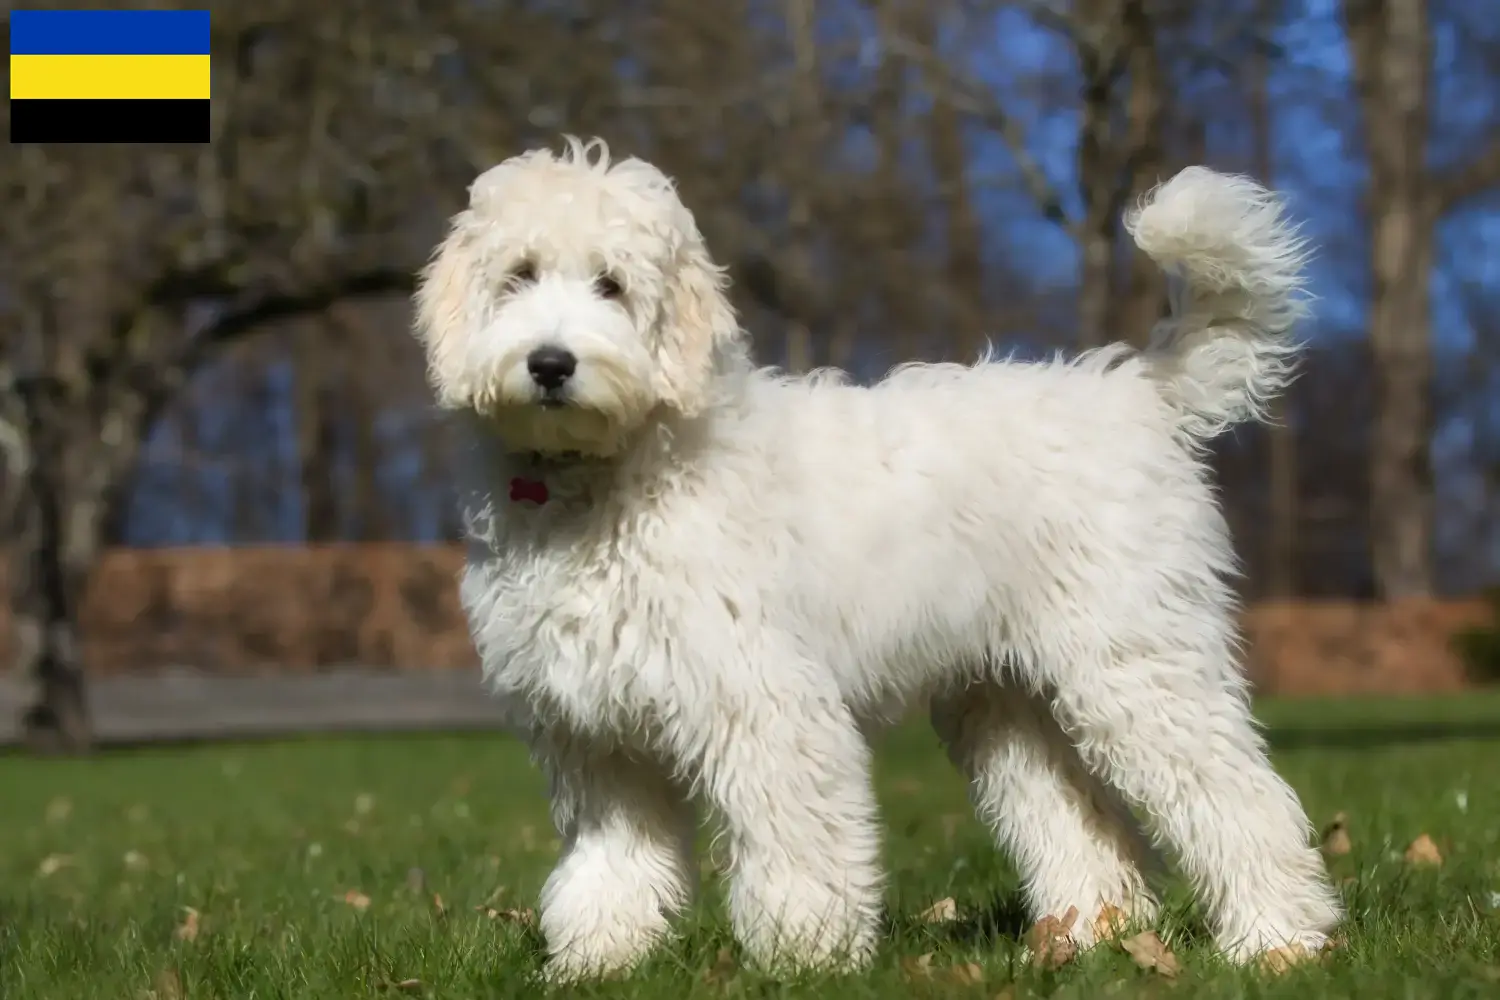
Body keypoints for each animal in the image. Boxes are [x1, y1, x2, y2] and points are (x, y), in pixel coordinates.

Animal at [417, 137, 1344, 983]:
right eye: (519, 275)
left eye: (611, 284)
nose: (550, 363)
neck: (604, 476)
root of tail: (1136, 390)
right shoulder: (597, 737)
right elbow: (611, 860)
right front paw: (598, 961)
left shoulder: (766, 702)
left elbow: (798, 839)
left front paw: (806, 955)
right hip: (1010, 701)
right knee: (1082, 825)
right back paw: (1083, 940)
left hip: (1137, 664)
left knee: (1239, 797)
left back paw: (1275, 941)